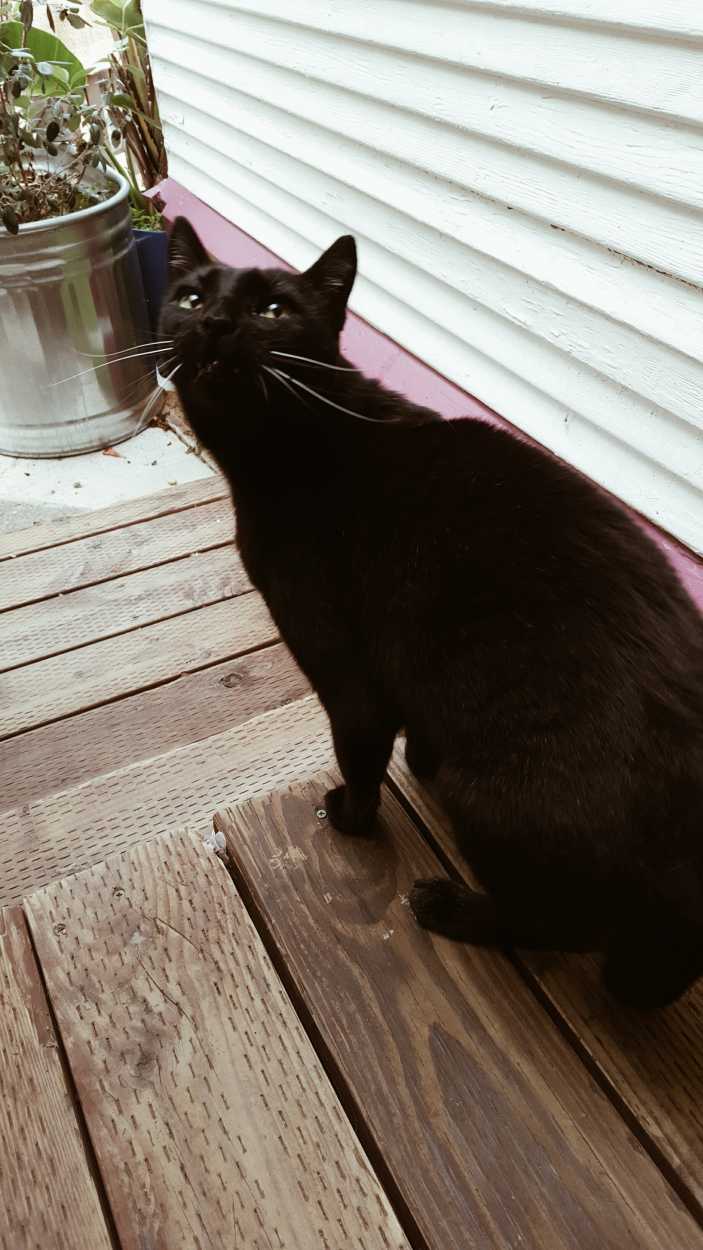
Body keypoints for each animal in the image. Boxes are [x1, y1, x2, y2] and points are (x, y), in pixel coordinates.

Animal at [160, 220, 700, 1010]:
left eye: (273, 310)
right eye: (191, 296)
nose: (216, 321)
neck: (299, 440)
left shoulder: (344, 668)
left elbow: (358, 756)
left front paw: (351, 819)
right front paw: (418, 756)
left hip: (498, 803)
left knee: (557, 923)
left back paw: (451, 908)